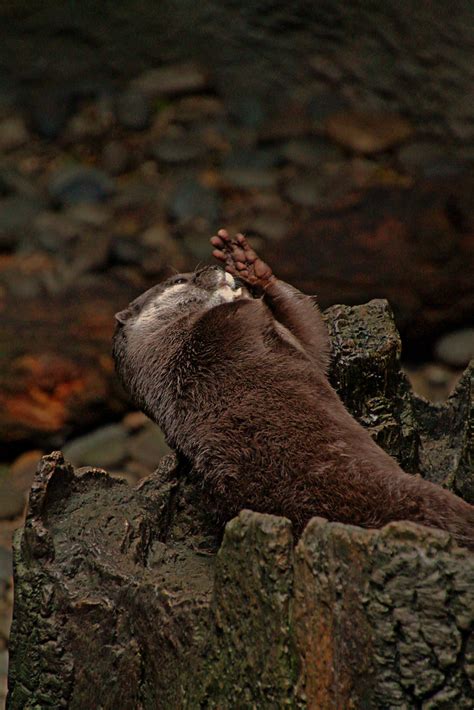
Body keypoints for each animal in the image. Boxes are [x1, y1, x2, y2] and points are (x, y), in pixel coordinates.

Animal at [114, 231, 474, 548]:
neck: (175, 351)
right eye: (178, 281)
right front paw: (235, 292)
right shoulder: (214, 338)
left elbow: (312, 335)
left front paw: (248, 264)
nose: (210, 269)